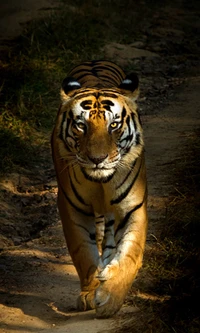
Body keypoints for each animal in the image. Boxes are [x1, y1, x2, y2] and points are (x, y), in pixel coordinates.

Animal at [51, 59, 148, 316]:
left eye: (113, 125)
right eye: (81, 126)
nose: (97, 159)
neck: (101, 181)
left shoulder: (133, 207)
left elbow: (130, 254)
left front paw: (111, 298)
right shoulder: (72, 208)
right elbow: (83, 253)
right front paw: (89, 293)